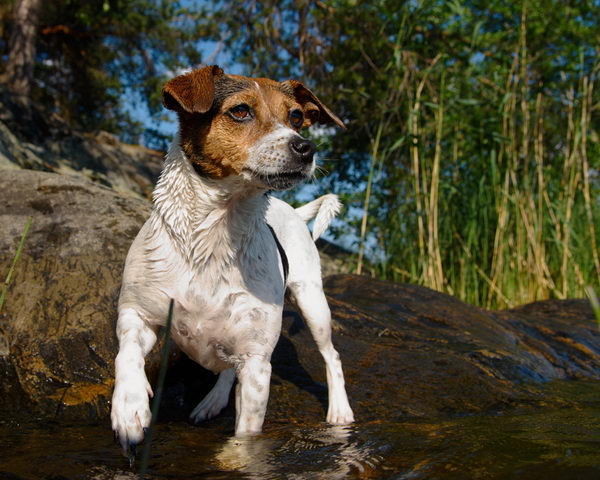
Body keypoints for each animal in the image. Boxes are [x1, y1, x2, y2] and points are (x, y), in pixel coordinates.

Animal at [110, 64, 354, 454]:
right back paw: (212, 401)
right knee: (226, 369)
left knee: (332, 356)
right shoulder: (138, 313)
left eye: (295, 117)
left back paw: (340, 410)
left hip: (313, 305)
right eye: (240, 111)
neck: (213, 235)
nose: (306, 147)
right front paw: (129, 406)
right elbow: (127, 355)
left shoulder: (256, 364)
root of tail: (294, 211)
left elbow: (246, 437)